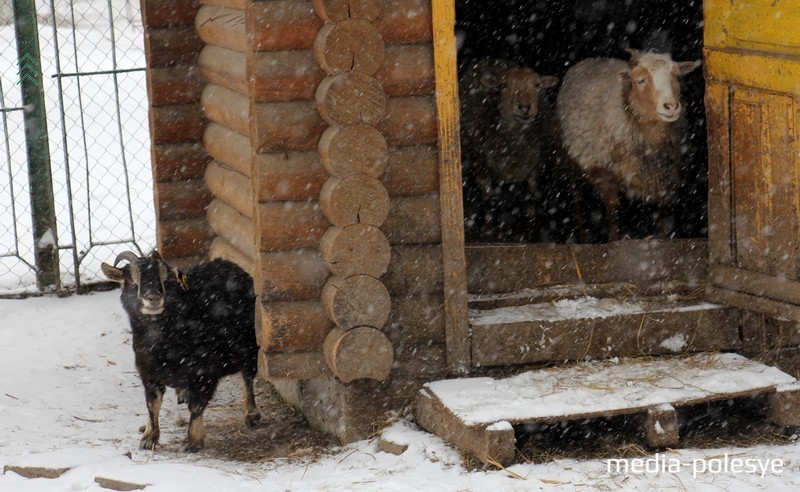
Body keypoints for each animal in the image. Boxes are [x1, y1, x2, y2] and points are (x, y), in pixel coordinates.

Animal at [101, 252, 260, 452]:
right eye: (131, 281)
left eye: (164, 280)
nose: (153, 298)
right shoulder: (148, 372)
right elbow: (152, 403)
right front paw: (149, 437)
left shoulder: (204, 371)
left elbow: (197, 405)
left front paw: (192, 442)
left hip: (248, 342)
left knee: (248, 376)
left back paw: (251, 414)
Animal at [460, 58, 560, 242]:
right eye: (503, 85)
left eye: (537, 85)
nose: (525, 107)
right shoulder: (480, 163)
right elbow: (489, 198)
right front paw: (488, 230)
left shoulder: (535, 166)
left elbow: (530, 198)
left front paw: (531, 231)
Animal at [556, 50, 700, 240]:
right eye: (640, 80)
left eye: (676, 76)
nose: (671, 107)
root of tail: (588, 60)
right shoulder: (603, 172)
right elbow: (612, 211)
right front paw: (613, 240)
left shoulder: (666, 176)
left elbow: (664, 213)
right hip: (570, 161)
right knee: (577, 198)